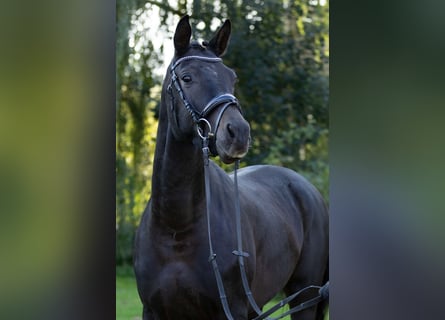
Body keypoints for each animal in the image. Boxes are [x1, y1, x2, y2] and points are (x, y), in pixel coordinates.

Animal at [134, 15, 328, 320]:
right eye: (187, 78)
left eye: (232, 78)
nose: (238, 132)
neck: (176, 228)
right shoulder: (154, 311)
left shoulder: (231, 310)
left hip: (305, 296)